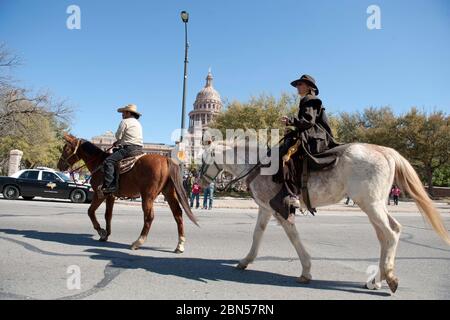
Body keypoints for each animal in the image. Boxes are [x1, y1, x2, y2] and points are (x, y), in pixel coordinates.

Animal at [57, 133, 198, 252]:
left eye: (66, 148)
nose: (59, 166)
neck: (99, 162)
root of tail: (166, 160)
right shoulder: (110, 196)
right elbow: (108, 215)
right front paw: (106, 235)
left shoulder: (99, 193)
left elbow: (90, 211)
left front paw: (101, 231)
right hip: (168, 193)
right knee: (178, 214)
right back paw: (180, 245)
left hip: (148, 195)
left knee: (149, 217)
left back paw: (138, 242)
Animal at [200, 140, 450, 292]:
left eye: (203, 159)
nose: (199, 180)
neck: (259, 165)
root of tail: (385, 151)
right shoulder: (265, 209)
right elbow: (257, 234)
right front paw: (245, 261)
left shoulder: (280, 210)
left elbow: (294, 238)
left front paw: (306, 271)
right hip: (374, 205)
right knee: (387, 234)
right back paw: (377, 281)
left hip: (370, 204)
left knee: (391, 234)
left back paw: (389, 278)